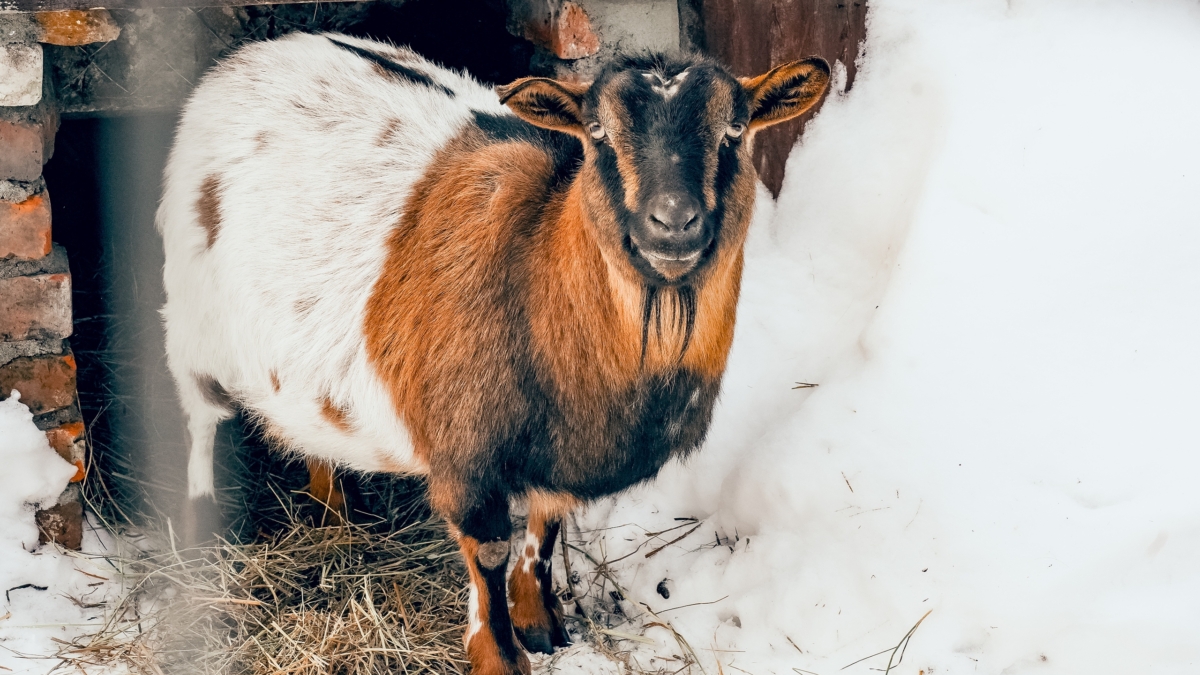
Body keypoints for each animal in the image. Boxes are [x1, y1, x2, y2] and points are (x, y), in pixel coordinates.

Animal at [159, 35, 830, 672]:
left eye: (734, 130)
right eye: (598, 134)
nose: (672, 224)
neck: (533, 264)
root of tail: (244, 58)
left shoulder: (561, 449)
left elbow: (547, 525)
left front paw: (542, 623)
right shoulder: (466, 450)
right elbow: (490, 550)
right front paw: (500, 655)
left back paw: (335, 516)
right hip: (193, 329)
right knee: (198, 422)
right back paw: (199, 532)